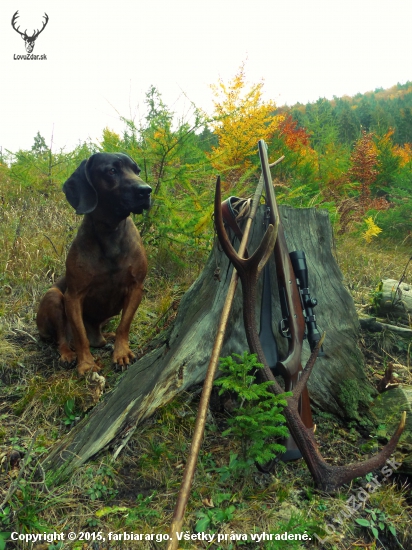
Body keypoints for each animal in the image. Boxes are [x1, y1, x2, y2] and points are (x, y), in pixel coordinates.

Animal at [37, 155, 152, 380]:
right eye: (111, 171)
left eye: (137, 170)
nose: (146, 190)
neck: (110, 232)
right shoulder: (73, 296)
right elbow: (80, 336)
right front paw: (87, 364)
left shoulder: (136, 287)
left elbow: (124, 325)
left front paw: (121, 353)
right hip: (53, 297)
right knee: (63, 338)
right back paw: (68, 354)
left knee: (99, 337)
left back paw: (107, 337)